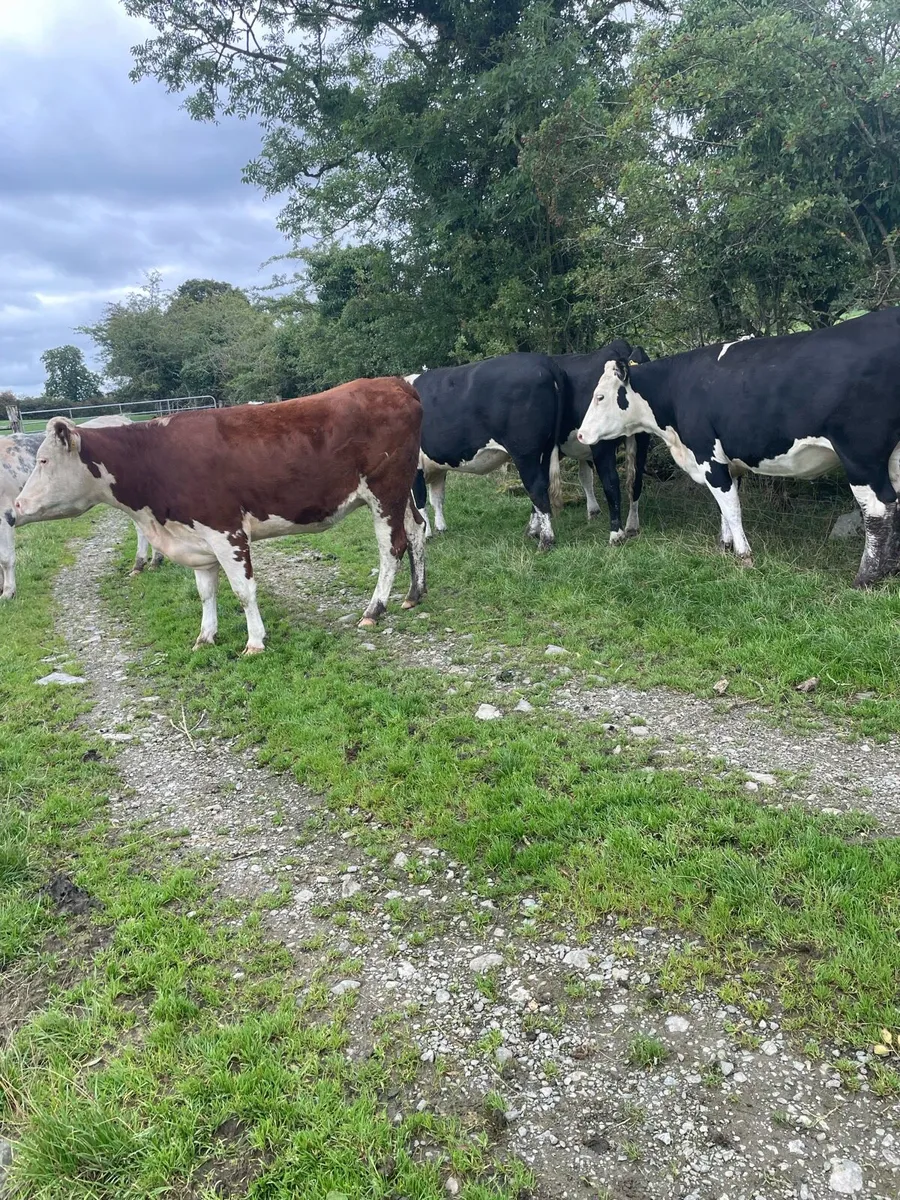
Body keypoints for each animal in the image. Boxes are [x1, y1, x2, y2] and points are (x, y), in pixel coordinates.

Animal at [406, 353, 566, 550]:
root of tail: (543, 361)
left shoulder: (415, 467)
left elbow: (419, 502)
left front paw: (425, 535)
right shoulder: (436, 467)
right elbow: (437, 499)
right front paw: (440, 528)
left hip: (525, 452)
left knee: (536, 486)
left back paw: (545, 540)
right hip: (546, 448)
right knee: (542, 485)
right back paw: (532, 531)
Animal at [553, 341, 652, 544]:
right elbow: (586, 476)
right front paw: (594, 511)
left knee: (612, 481)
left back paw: (617, 532)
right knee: (634, 480)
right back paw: (630, 525)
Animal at [575, 308, 900, 587]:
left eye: (600, 396)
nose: (579, 434)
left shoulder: (707, 455)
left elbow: (731, 507)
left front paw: (744, 556)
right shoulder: (728, 462)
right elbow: (725, 506)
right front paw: (725, 546)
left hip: (860, 455)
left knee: (879, 509)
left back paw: (866, 578)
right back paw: (892, 568)